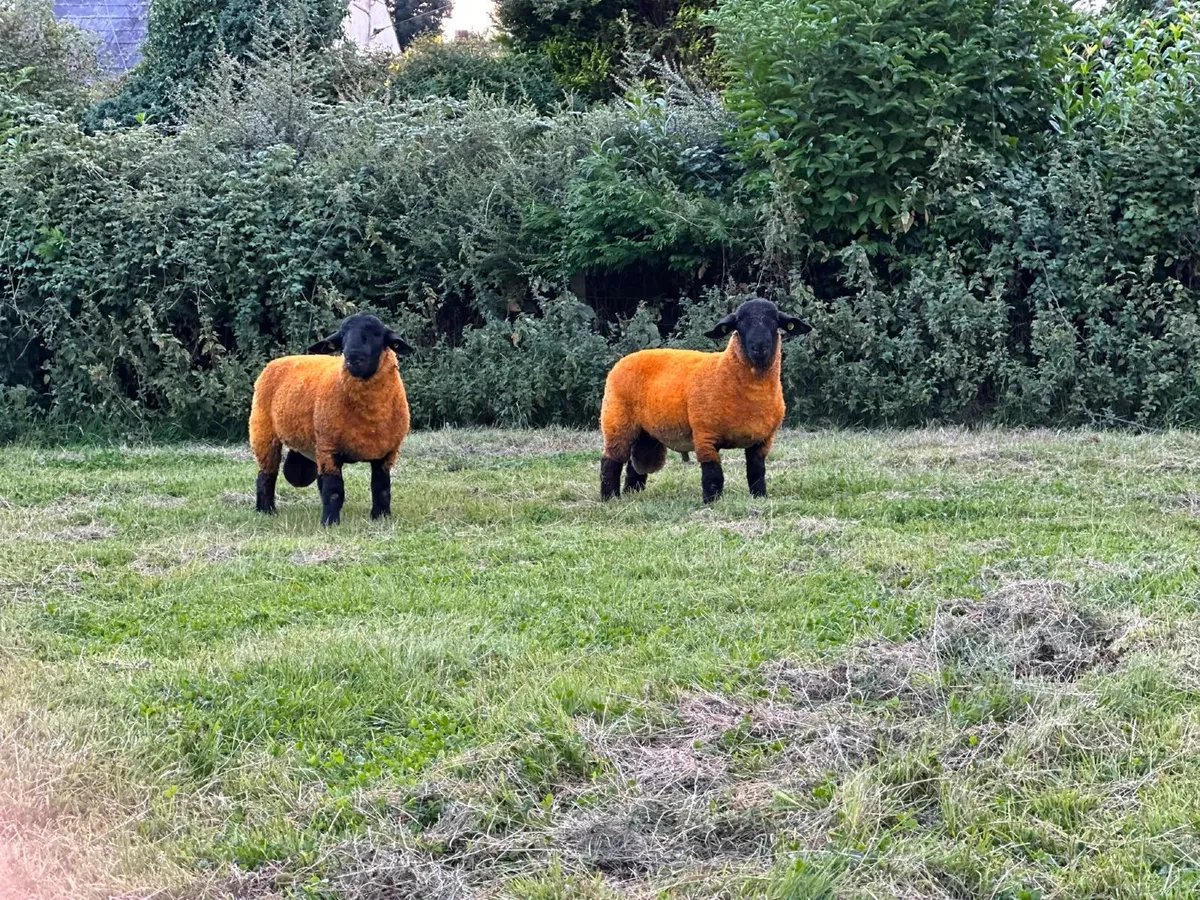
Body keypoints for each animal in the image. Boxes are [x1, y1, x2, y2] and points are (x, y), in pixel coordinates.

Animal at [249, 313, 414, 526]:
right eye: (343, 336)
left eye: (377, 334)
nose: (353, 358)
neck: (370, 420)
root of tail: (279, 360)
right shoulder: (329, 448)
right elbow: (334, 491)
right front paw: (330, 522)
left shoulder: (386, 453)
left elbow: (382, 488)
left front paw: (381, 516)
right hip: (264, 433)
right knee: (266, 475)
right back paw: (266, 510)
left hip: (312, 446)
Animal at [598, 298, 811, 503]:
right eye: (740, 322)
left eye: (774, 320)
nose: (759, 347)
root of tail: (625, 359)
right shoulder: (705, 436)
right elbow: (713, 475)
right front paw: (711, 502)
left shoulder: (762, 440)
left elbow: (757, 472)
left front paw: (759, 497)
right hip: (617, 422)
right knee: (610, 462)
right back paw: (609, 497)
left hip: (646, 433)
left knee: (633, 466)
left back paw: (632, 493)